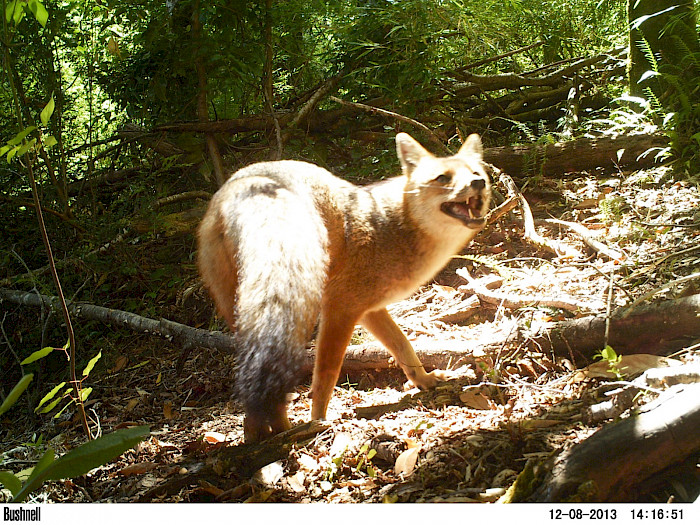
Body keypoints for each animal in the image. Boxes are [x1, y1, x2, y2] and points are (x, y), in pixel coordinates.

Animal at [196, 132, 491, 442]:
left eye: (476, 173)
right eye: (443, 178)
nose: (478, 184)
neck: (392, 228)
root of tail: (248, 184)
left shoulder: (370, 311)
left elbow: (404, 347)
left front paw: (424, 380)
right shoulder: (341, 309)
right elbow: (326, 375)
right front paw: (319, 420)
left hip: (245, 316)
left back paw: (259, 436)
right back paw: (287, 433)